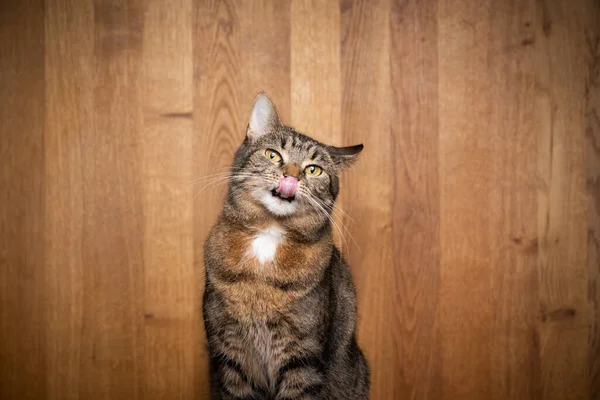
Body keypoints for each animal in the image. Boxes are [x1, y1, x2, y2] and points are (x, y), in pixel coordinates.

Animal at [203, 92, 370, 398]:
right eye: (273, 155)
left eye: (313, 170)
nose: (291, 176)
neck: (269, 236)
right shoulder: (228, 350)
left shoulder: (303, 355)